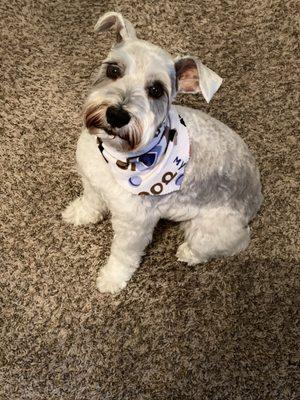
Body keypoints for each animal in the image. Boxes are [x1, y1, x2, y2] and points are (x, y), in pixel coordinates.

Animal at [61, 12, 262, 294]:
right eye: (113, 70)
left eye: (156, 90)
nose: (117, 115)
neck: (116, 156)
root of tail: (256, 196)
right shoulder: (91, 182)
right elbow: (90, 202)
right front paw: (79, 214)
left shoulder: (134, 227)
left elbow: (122, 256)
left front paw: (111, 279)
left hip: (207, 230)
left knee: (234, 242)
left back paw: (189, 254)